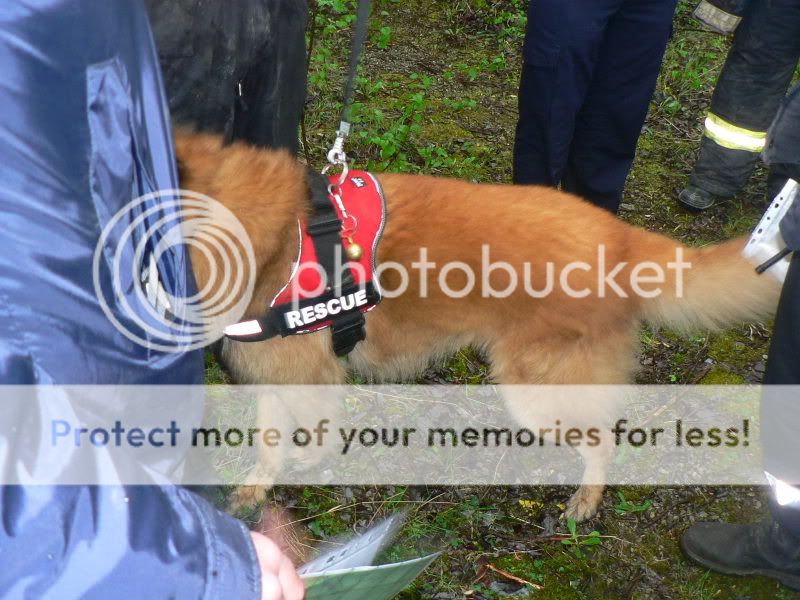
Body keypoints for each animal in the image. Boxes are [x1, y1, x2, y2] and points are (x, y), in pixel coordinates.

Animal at [175, 131, 780, 520]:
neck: (270, 235)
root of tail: (622, 238)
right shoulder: (272, 372)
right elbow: (268, 444)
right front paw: (255, 491)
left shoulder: (311, 378)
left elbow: (314, 436)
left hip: (536, 388)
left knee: (603, 438)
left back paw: (585, 501)